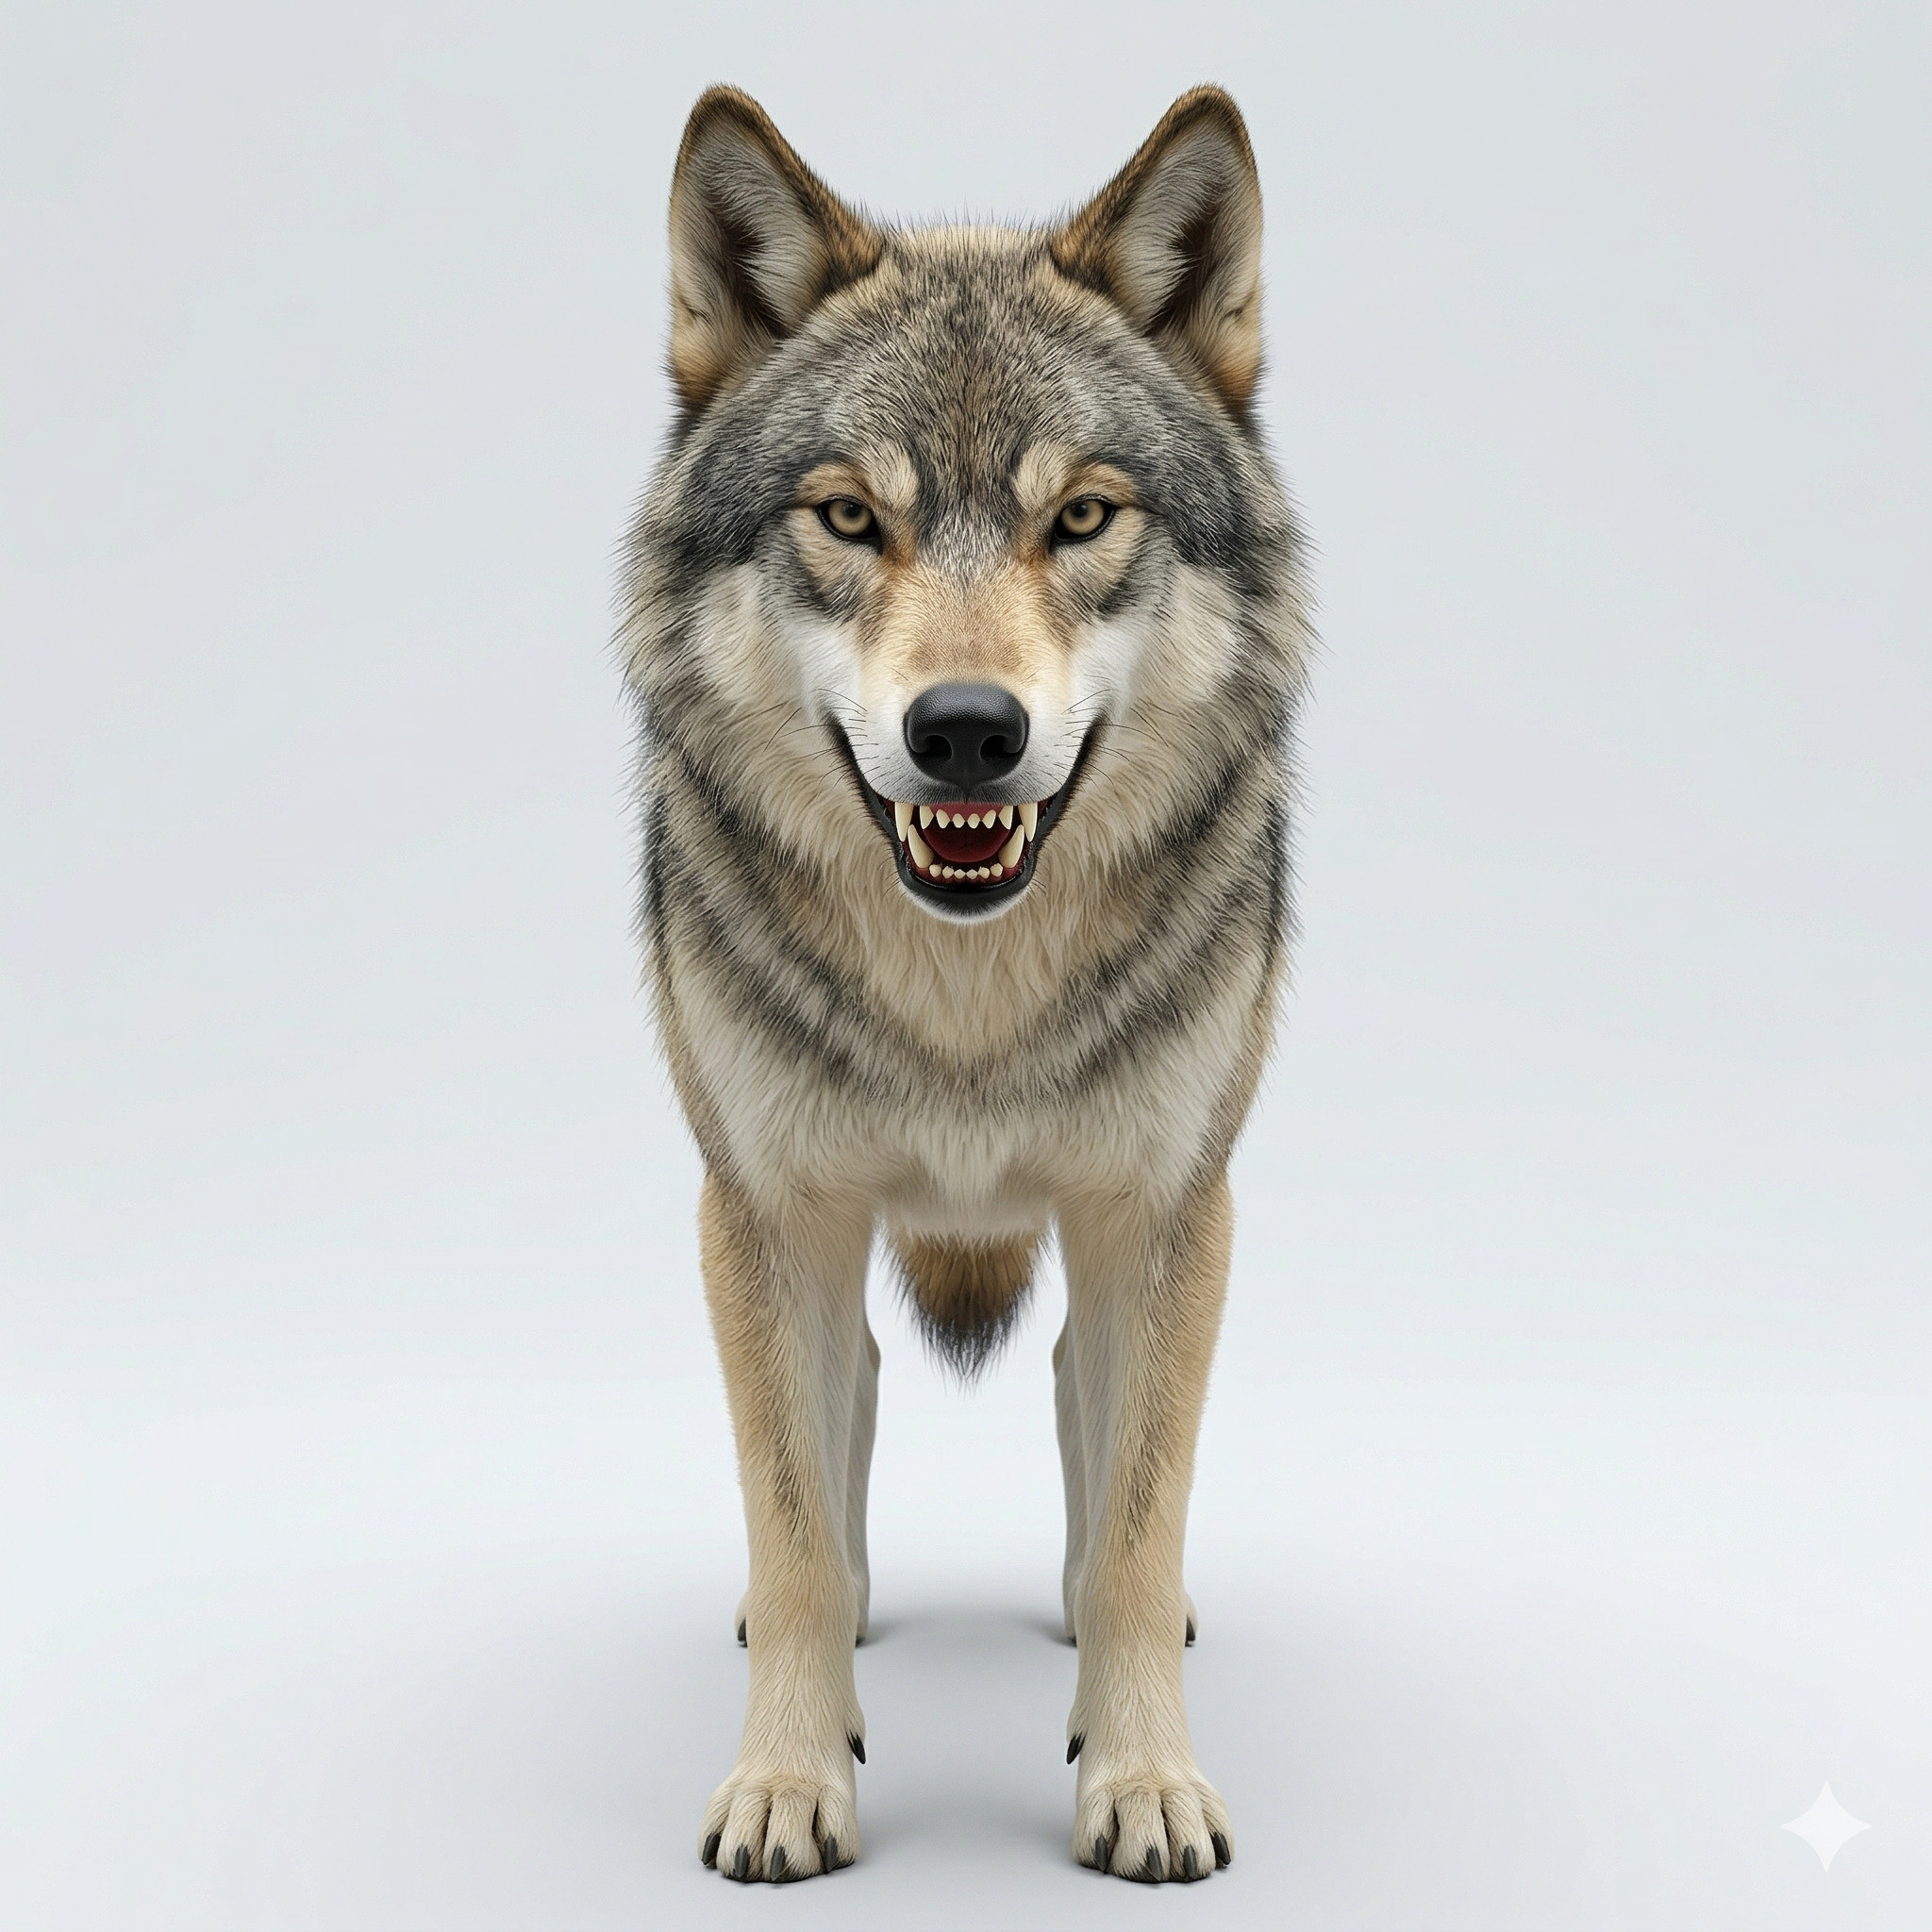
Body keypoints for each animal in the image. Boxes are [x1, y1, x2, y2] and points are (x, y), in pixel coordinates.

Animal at [620, 83, 1311, 1884]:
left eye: (1081, 516)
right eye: (850, 516)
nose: (966, 733)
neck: (967, 1000)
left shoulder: (1165, 1210)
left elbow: (1136, 1524)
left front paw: (1142, 1782)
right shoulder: (763, 1210)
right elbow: (794, 1525)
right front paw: (788, 1782)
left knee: (1082, 1404)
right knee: (849, 1403)